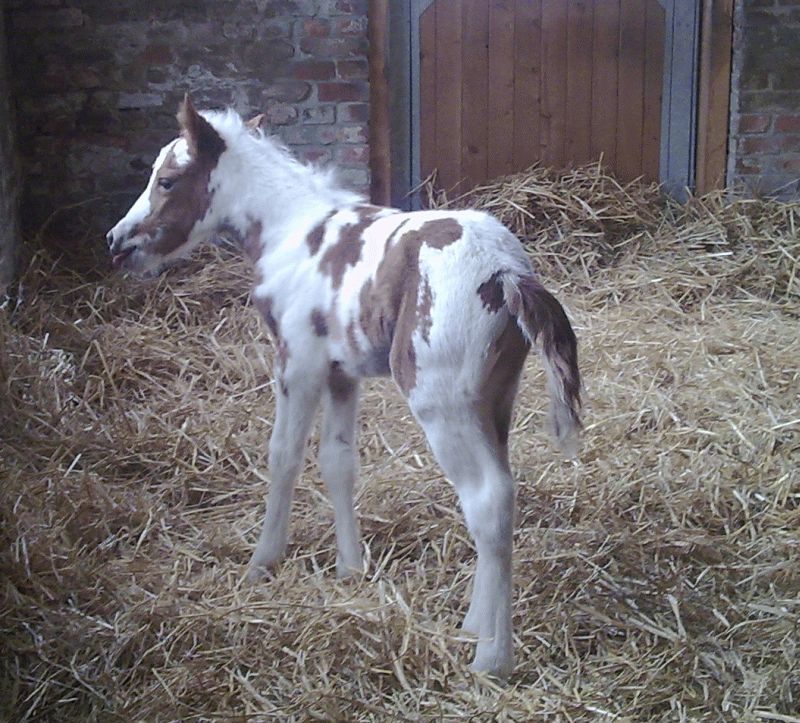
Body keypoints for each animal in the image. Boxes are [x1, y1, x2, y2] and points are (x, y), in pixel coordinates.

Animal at [106, 97, 582, 678]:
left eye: (169, 180)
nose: (116, 242)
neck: (291, 231)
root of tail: (505, 272)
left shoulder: (297, 364)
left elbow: (284, 457)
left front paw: (261, 563)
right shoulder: (340, 372)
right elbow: (337, 463)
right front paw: (350, 568)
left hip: (442, 402)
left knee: (487, 499)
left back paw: (491, 658)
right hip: (494, 399)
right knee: (500, 494)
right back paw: (474, 625)